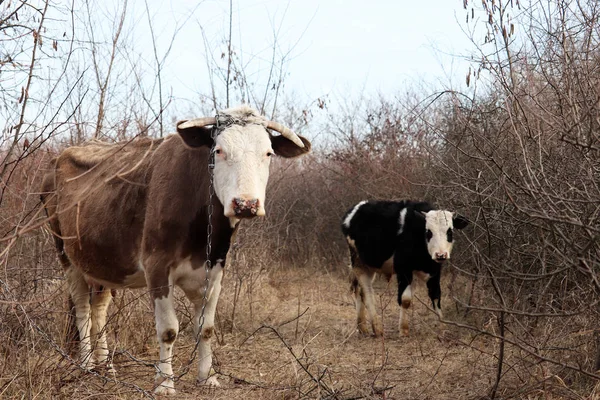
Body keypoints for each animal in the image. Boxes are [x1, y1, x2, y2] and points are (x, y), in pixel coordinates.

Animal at [40, 104, 312, 396]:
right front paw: (165, 383)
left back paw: (106, 366)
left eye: (268, 153)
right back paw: (88, 364)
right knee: (82, 308)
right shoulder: (156, 266)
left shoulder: (215, 269)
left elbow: (206, 328)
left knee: (98, 308)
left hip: (102, 261)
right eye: (219, 151)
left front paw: (208, 377)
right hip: (65, 254)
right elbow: (168, 329)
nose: (245, 204)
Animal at [342, 202, 468, 336]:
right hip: (358, 264)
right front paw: (403, 329)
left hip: (368, 267)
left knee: (358, 290)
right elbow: (405, 299)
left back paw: (362, 327)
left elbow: (436, 295)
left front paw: (441, 327)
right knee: (367, 293)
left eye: (450, 232)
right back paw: (377, 328)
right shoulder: (403, 270)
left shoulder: (434, 271)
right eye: (428, 232)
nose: (441, 255)